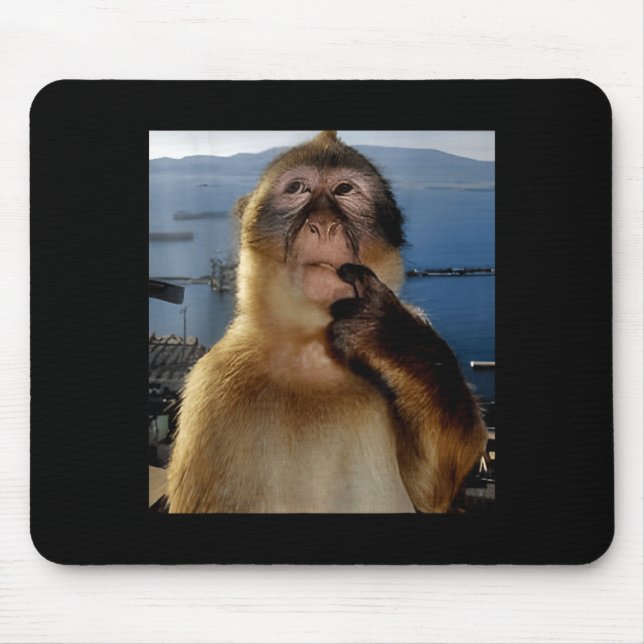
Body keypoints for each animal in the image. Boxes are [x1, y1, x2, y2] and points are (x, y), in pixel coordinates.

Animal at [166, 130, 487, 513]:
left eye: (344, 189)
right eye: (298, 188)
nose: (323, 224)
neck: (312, 350)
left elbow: (431, 491)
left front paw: (389, 334)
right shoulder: (211, 390)